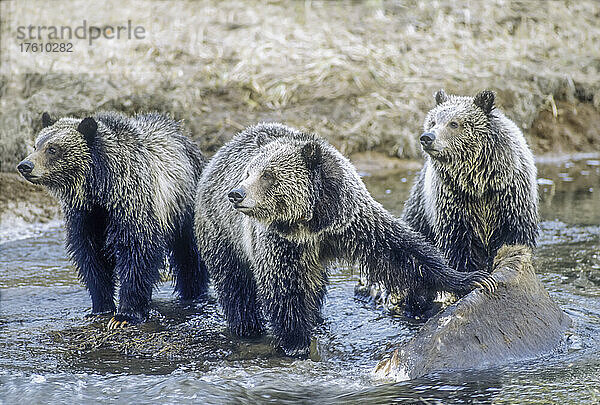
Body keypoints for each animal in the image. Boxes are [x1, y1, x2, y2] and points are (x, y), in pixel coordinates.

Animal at [18, 110, 209, 328]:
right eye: (36, 145)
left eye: (53, 149)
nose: (25, 165)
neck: (100, 189)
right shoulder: (86, 217)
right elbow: (91, 258)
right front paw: (100, 307)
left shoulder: (132, 204)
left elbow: (136, 253)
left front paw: (125, 315)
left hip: (184, 205)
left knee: (189, 255)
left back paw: (193, 293)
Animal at [197, 121, 496, 356]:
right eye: (248, 172)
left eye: (267, 175)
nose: (236, 194)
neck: (310, 221)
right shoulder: (279, 241)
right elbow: (284, 287)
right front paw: (296, 342)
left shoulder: (350, 219)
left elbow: (402, 253)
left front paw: (470, 279)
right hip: (221, 232)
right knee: (235, 283)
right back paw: (247, 326)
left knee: (313, 284)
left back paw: (315, 317)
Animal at [404, 90, 540, 312]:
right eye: (433, 121)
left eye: (454, 123)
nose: (427, 138)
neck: (478, 183)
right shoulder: (455, 205)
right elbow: (459, 249)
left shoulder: (510, 199)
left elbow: (514, 239)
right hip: (420, 214)